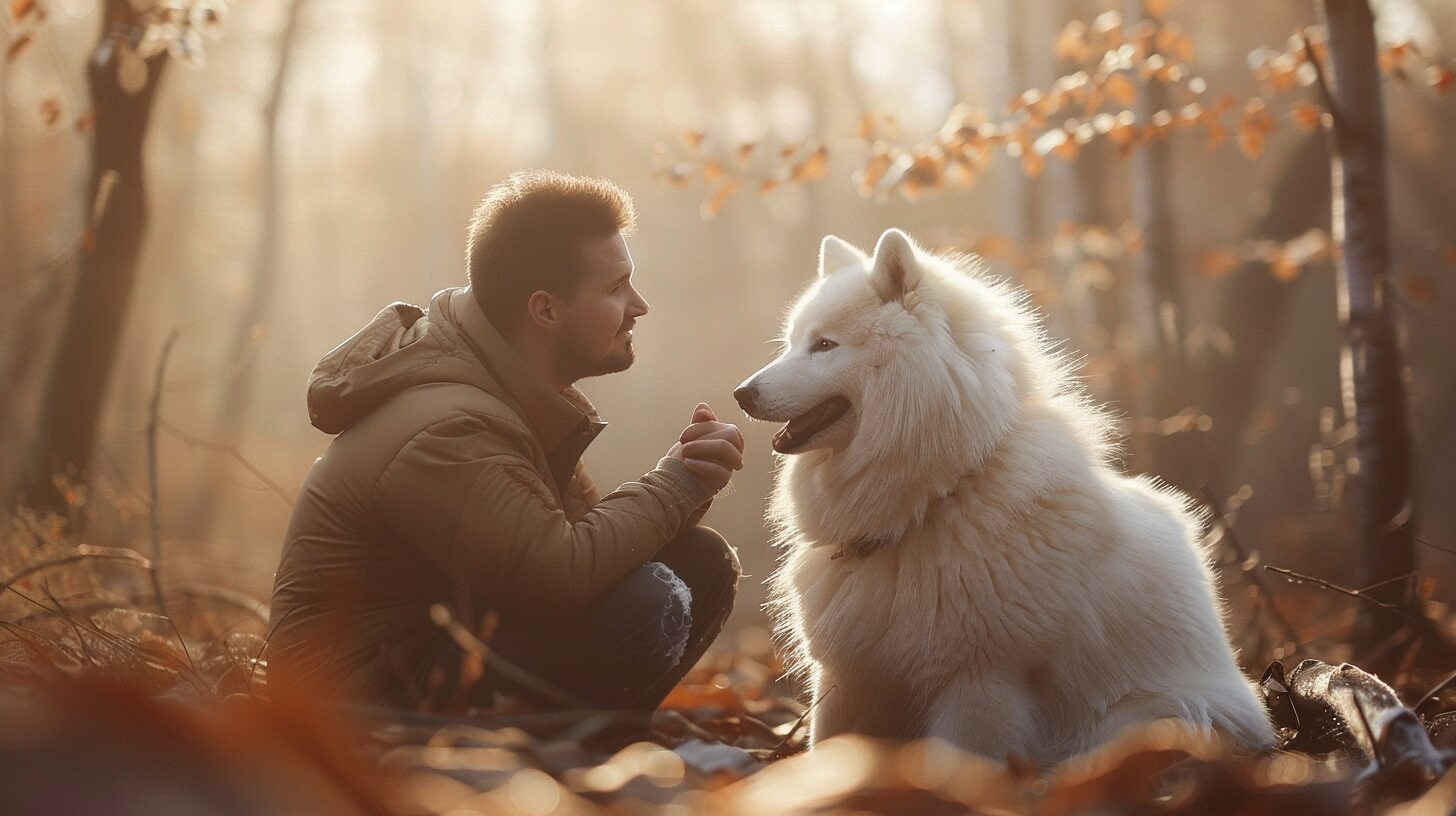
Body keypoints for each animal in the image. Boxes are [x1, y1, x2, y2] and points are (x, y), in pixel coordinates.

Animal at [733, 227, 1269, 763]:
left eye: (824, 345)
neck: (934, 499)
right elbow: (827, 749)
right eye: (792, 343)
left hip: (1154, 717)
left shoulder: (981, 680)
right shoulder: (848, 675)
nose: (741, 394)